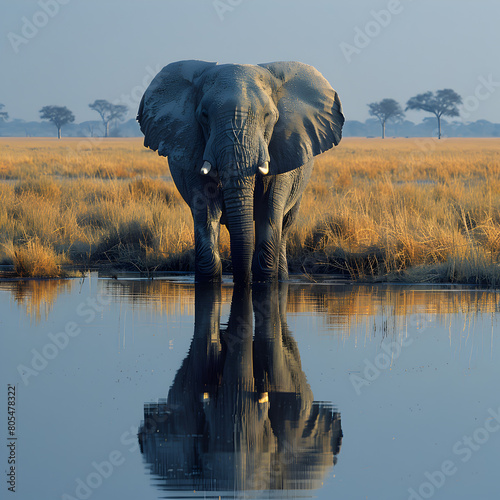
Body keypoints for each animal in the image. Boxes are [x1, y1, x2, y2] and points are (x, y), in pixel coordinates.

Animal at [137, 59, 344, 282]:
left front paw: (263, 280)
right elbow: (206, 210)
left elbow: (269, 211)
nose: (242, 280)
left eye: (268, 116)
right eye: (204, 115)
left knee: (285, 225)